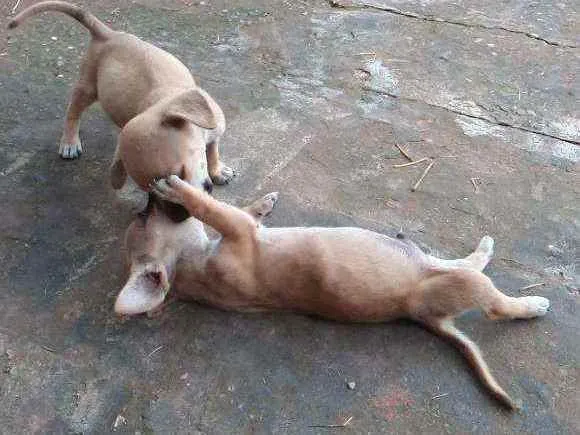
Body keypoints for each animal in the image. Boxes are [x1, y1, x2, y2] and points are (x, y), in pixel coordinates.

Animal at [7, 0, 232, 192]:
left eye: (181, 172)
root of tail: (108, 35)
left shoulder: (214, 130)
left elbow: (213, 150)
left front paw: (218, 170)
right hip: (88, 87)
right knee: (73, 111)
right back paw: (69, 143)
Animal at [114, 175, 552, 410]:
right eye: (144, 216)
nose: (147, 197)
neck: (192, 267)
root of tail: (421, 315)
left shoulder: (240, 226)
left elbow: (234, 208)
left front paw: (262, 201)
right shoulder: (237, 229)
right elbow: (208, 206)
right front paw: (180, 188)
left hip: (437, 267)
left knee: (464, 263)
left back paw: (485, 249)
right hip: (459, 283)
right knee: (492, 300)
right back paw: (532, 303)